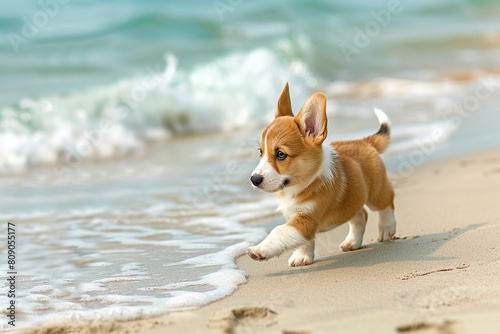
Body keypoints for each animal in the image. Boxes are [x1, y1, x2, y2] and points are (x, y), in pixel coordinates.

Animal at [246, 83, 394, 266]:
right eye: (261, 152)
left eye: (281, 154)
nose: (254, 179)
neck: (299, 186)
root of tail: (363, 141)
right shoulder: (296, 218)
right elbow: (305, 241)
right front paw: (302, 256)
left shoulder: (307, 219)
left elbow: (278, 231)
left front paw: (259, 249)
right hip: (352, 200)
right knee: (361, 215)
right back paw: (352, 242)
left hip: (376, 193)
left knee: (387, 201)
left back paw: (387, 229)